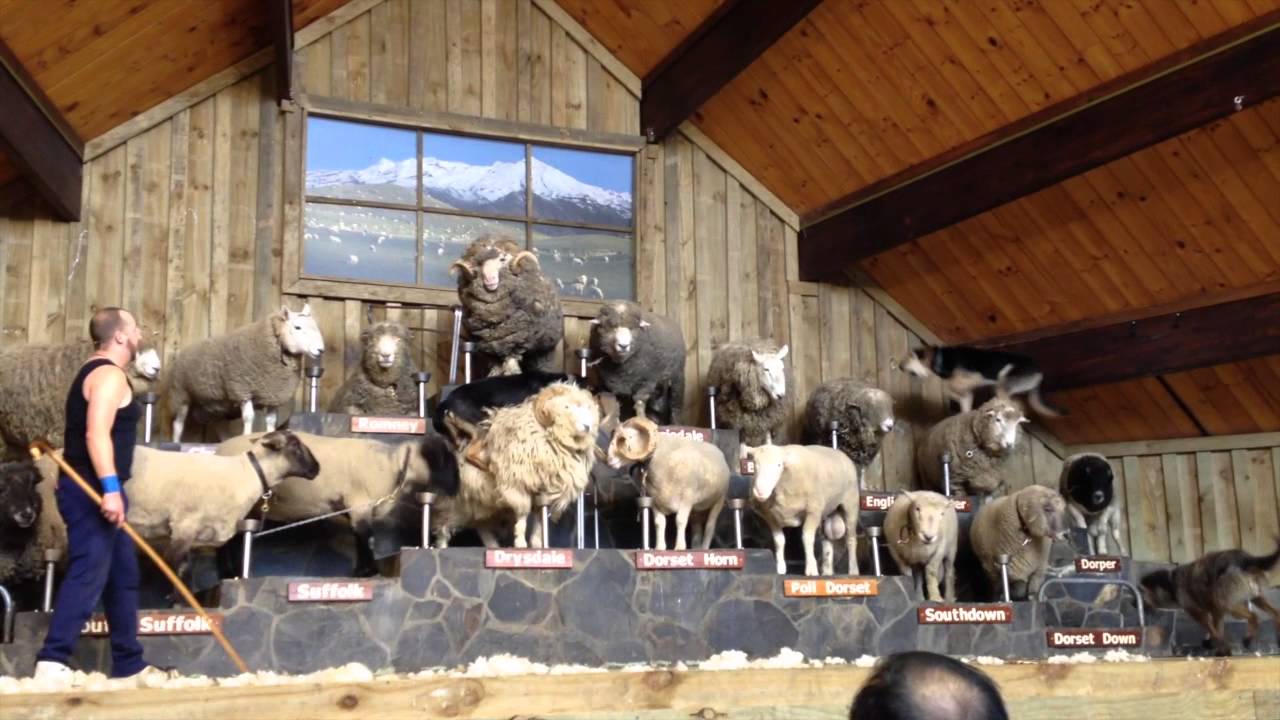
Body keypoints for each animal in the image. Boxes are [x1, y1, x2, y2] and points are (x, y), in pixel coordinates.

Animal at [166, 304, 325, 442]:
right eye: (297, 327)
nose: (321, 350)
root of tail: (182, 352)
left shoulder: (273, 395)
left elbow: (271, 421)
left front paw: (269, 435)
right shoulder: (242, 390)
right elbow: (249, 417)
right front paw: (246, 437)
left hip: (217, 405)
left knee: (219, 425)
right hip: (180, 395)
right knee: (178, 424)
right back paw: (175, 442)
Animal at [216, 432, 458, 576]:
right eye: (448, 461)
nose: (457, 488)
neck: (394, 465)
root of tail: (218, 450)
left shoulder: (355, 508)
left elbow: (358, 537)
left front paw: (361, 570)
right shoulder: (360, 504)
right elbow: (366, 538)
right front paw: (369, 571)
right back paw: (229, 573)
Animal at [451, 235, 564, 376]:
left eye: (502, 259)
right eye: (479, 263)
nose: (489, 280)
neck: (493, 313)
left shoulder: (514, 341)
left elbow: (511, 366)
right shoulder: (490, 345)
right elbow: (495, 367)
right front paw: (493, 374)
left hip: (545, 348)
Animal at [605, 417, 729, 550]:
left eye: (630, 436)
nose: (609, 460)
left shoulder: (687, 498)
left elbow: (680, 520)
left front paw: (679, 547)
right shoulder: (654, 501)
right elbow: (659, 523)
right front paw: (659, 547)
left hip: (719, 500)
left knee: (710, 526)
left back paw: (704, 547)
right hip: (697, 509)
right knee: (696, 527)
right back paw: (696, 548)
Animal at [747, 443, 860, 577]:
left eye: (779, 465)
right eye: (755, 463)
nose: (760, 492)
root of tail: (840, 453)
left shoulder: (813, 511)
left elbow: (807, 538)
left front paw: (811, 569)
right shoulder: (771, 517)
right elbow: (779, 541)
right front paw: (780, 568)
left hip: (850, 504)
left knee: (851, 539)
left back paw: (853, 570)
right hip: (825, 513)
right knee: (826, 540)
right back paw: (827, 571)